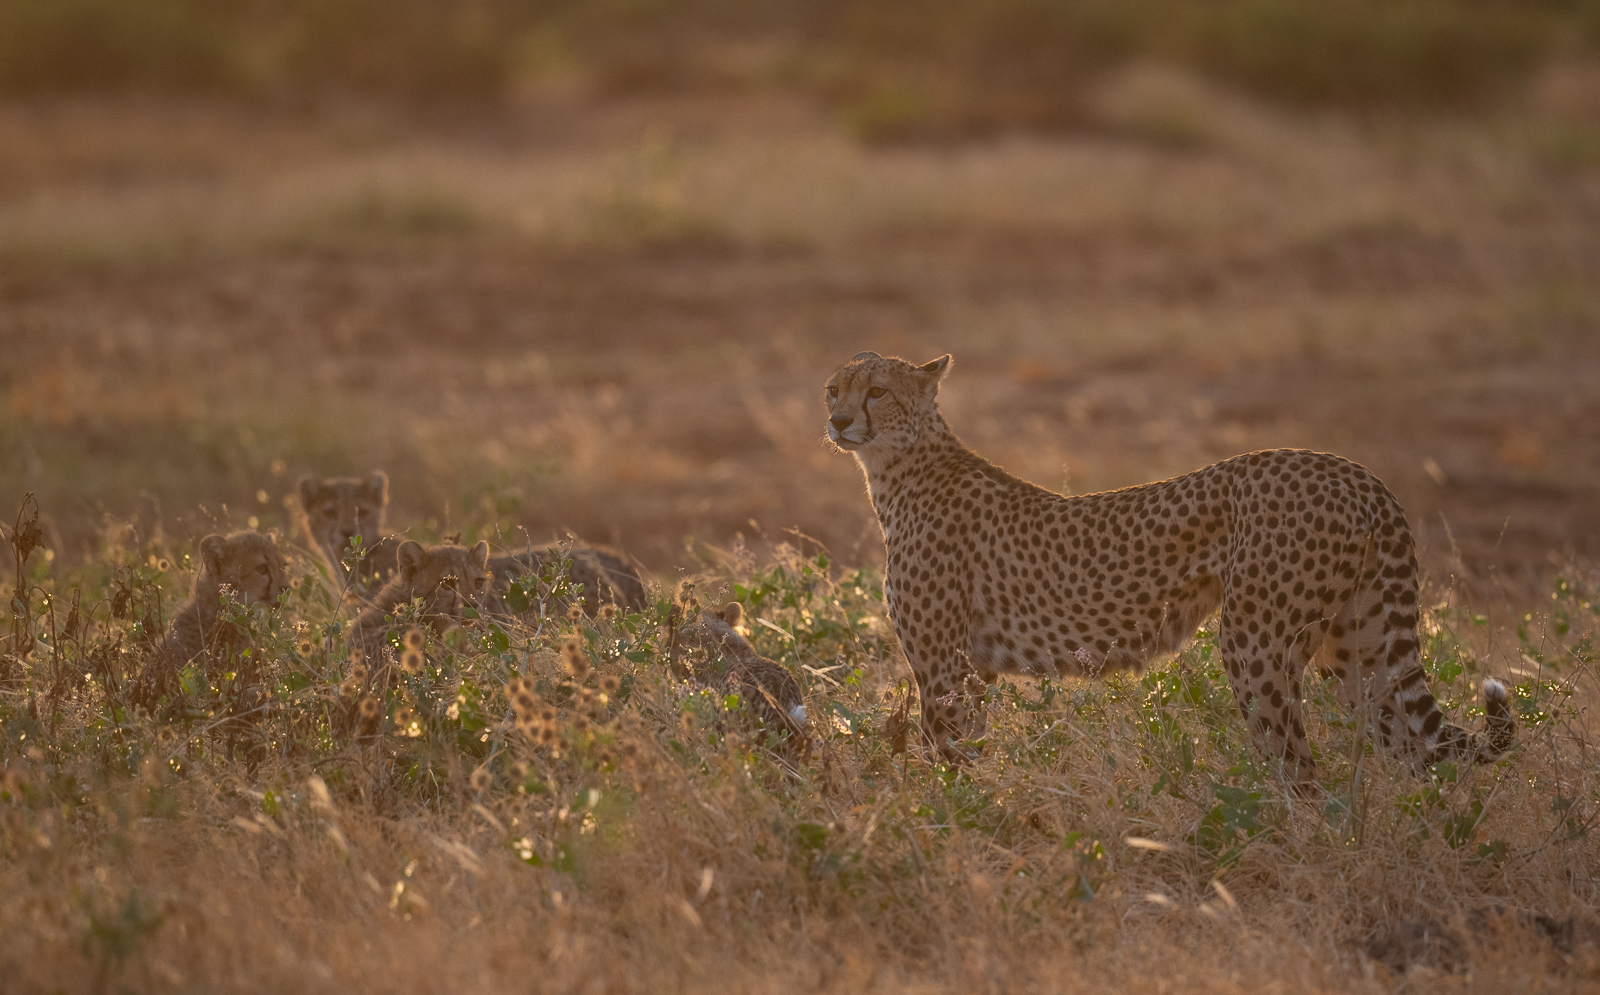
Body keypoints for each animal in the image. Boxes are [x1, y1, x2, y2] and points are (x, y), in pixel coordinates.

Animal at [824, 351, 1515, 786]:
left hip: (1255, 643)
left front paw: (958, 829)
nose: (837, 419)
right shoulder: (974, 671)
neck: (899, 467)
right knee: (1418, 759)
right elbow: (971, 752)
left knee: (1300, 769)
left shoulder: (944, 667)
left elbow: (950, 764)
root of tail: (1353, 471)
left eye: (877, 391)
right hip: (1359, 652)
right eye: (834, 388)